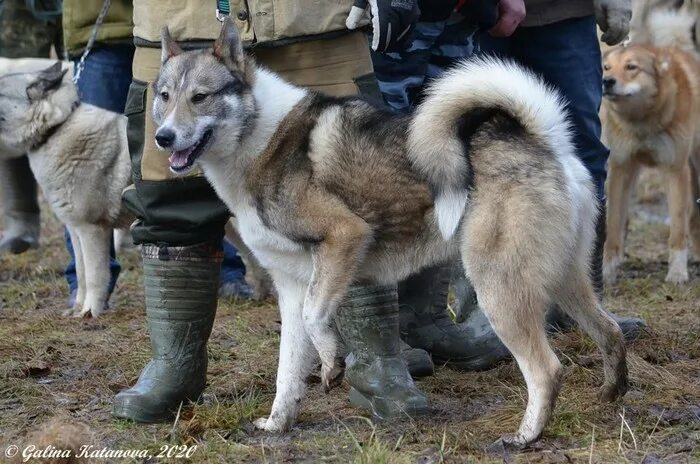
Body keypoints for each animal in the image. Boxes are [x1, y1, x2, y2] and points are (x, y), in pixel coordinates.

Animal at [153, 20, 628, 448]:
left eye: (200, 97)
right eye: (164, 96)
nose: (162, 137)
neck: (261, 136)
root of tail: (543, 140)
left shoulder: (344, 235)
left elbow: (315, 318)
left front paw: (332, 361)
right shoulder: (290, 287)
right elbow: (287, 370)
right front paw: (277, 423)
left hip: (499, 289)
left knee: (547, 369)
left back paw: (526, 436)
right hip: (565, 280)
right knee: (610, 331)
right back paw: (612, 397)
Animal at [600, 44, 700, 282]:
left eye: (631, 67)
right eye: (606, 67)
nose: (606, 81)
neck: (643, 122)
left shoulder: (675, 170)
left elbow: (677, 226)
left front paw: (677, 272)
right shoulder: (620, 168)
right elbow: (613, 224)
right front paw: (607, 271)